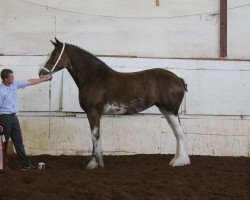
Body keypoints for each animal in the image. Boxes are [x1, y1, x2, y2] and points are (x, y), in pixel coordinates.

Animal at [39, 38, 190, 169]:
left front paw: (93, 163)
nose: (41, 73)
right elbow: (96, 135)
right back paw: (177, 159)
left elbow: (95, 135)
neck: (94, 78)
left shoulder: (93, 112)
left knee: (179, 132)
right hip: (165, 110)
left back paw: (180, 161)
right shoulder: (95, 114)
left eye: (54, 54)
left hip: (171, 110)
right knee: (176, 132)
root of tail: (178, 79)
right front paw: (96, 161)